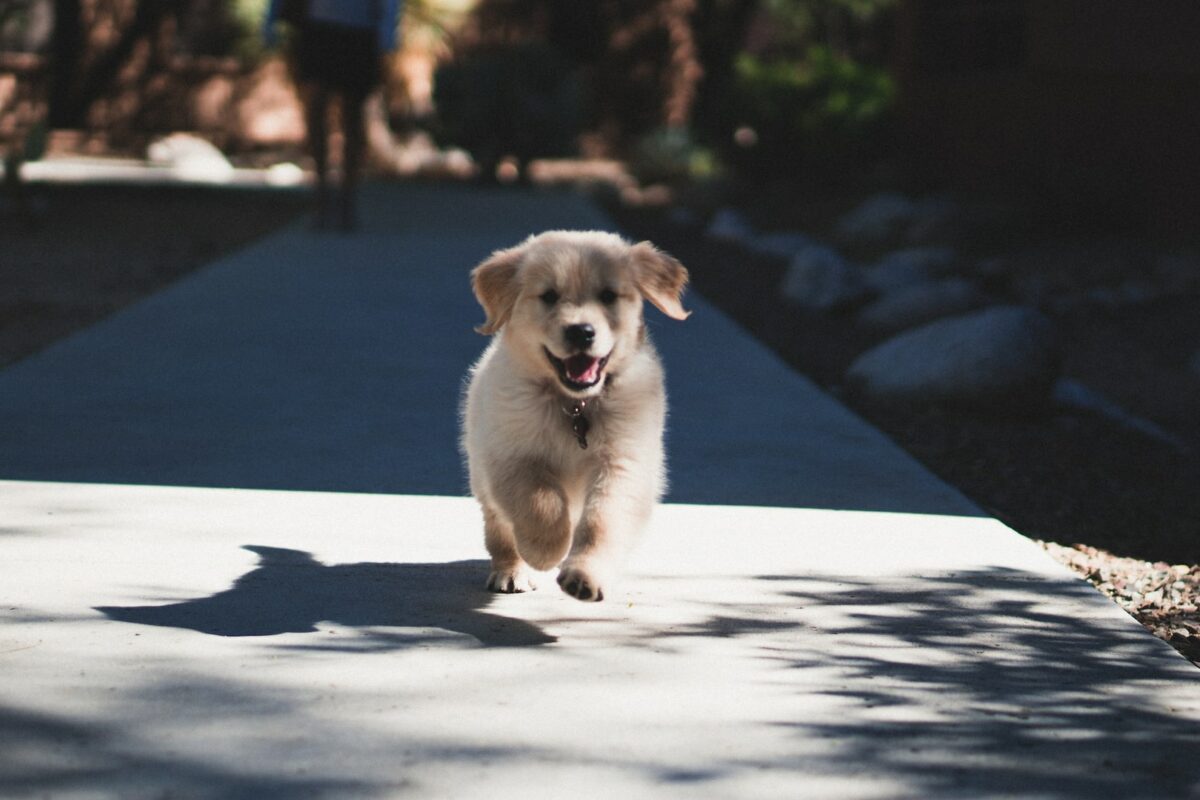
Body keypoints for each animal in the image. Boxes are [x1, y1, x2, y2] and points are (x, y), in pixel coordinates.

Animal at [460, 230, 691, 599]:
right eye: (549, 296)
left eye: (608, 295)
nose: (581, 332)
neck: (574, 404)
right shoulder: (510, 456)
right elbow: (541, 502)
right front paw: (546, 550)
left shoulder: (624, 462)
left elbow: (602, 521)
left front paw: (585, 575)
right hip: (481, 474)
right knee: (499, 529)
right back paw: (511, 570)